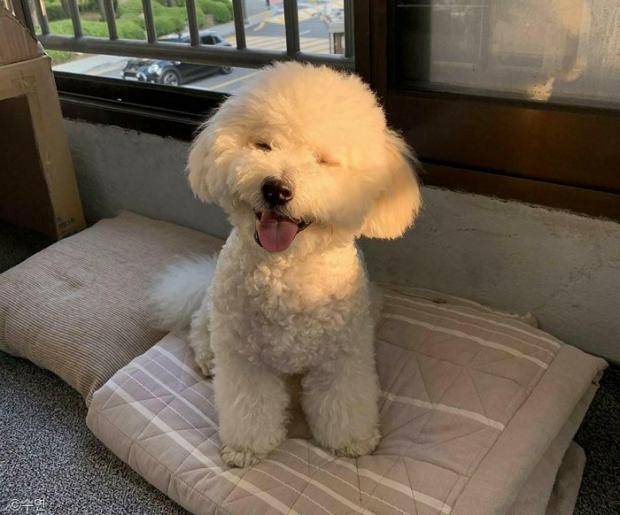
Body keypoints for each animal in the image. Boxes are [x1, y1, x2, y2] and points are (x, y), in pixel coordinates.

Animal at [151, 62, 421, 468]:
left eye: (323, 160)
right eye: (263, 145)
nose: (276, 189)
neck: (287, 269)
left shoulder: (341, 358)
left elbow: (343, 402)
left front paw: (352, 441)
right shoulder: (246, 360)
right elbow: (250, 407)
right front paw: (246, 448)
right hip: (215, 317)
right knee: (200, 326)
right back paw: (207, 359)